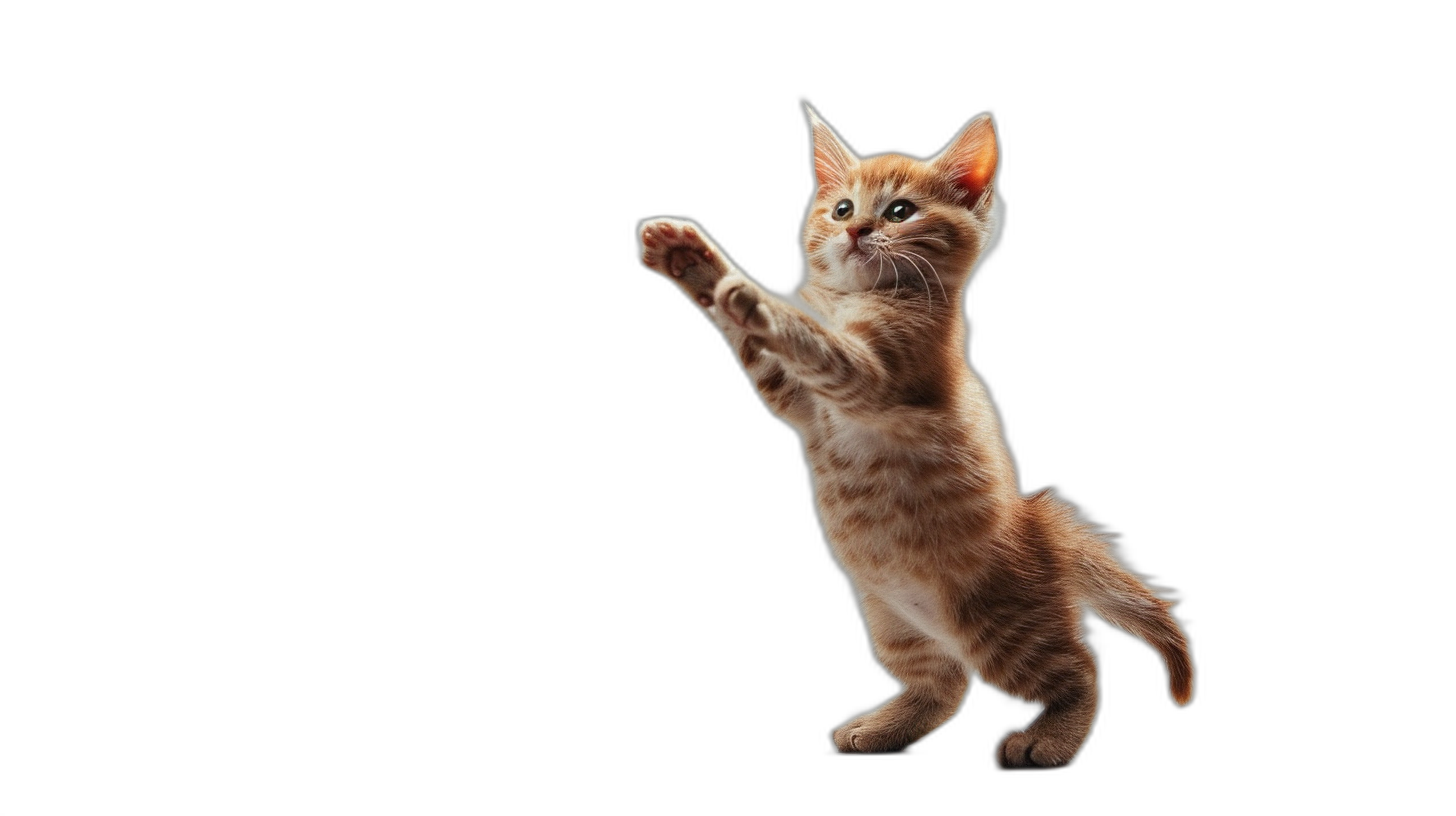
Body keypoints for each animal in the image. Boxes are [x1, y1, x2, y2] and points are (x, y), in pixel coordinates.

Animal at [640, 104, 1193, 769]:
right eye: (842, 208)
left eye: (900, 211)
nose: (857, 231)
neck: (872, 301)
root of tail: (1041, 527)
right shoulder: (796, 398)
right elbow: (755, 346)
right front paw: (691, 260)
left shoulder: (871, 377)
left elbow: (810, 338)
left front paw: (755, 299)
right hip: (895, 625)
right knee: (944, 685)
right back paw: (882, 730)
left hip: (1001, 627)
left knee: (1079, 669)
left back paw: (1051, 741)